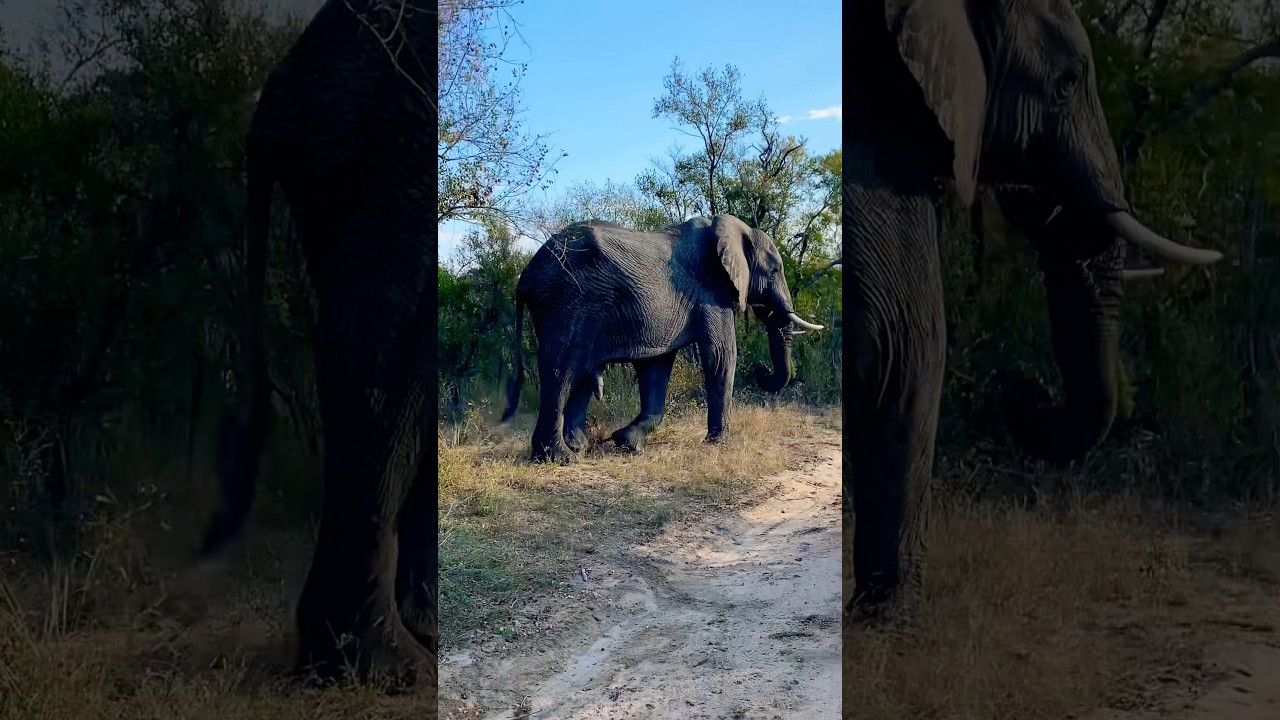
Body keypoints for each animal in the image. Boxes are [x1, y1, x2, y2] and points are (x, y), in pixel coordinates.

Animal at [501, 215, 824, 463]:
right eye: (775, 270)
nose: (760, 370)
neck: (734, 228)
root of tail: (526, 276)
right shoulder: (712, 292)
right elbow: (721, 356)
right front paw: (717, 444)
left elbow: (656, 369)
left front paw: (626, 442)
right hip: (566, 303)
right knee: (561, 371)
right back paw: (560, 458)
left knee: (579, 374)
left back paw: (577, 446)